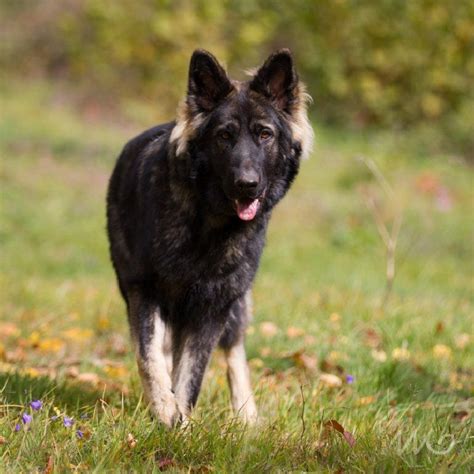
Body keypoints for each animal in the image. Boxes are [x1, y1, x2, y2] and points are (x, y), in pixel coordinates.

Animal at [108, 49, 314, 426]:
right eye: (224, 136)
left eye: (265, 135)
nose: (247, 185)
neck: (209, 226)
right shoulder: (145, 292)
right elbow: (149, 356)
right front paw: (165, 408)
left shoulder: (214, 307)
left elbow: (192, 374)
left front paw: (181, 423)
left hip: (233, 305)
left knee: (234, 351)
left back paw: (246, 416)